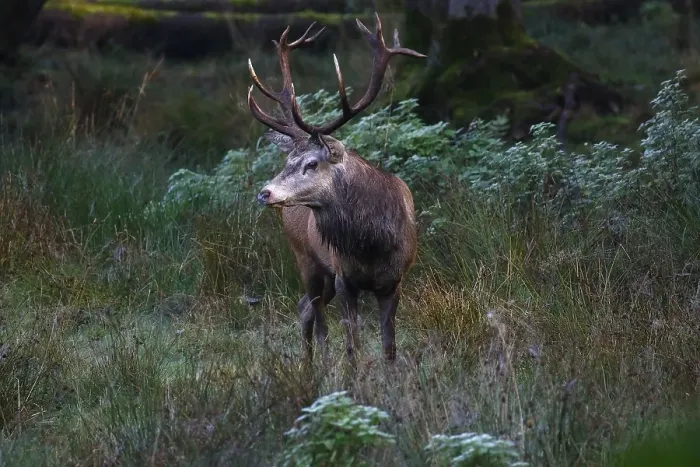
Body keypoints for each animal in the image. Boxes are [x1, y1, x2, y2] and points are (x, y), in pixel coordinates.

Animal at [247, 13, 426, 367]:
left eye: (312, 163)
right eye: (288, 160)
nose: (265, 193)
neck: (371, 244)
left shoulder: (396, 280)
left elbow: (390, 347)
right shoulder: (344, 277)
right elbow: (352, 343)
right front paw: (353, 374)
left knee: (304, 308)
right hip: (307, 259)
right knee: (315, 317)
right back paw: (318, 365)